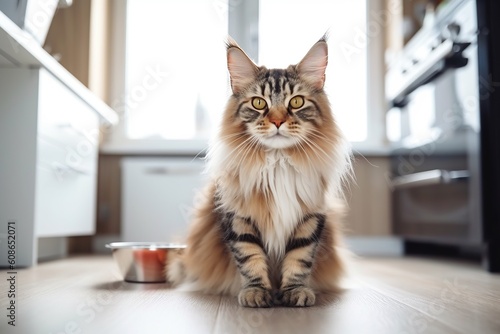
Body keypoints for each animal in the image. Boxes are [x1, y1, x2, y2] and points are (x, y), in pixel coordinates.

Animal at [167, 36, 352, 308]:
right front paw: (256, 293)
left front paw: (295, 291)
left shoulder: (310, 217)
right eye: (258, 103)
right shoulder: (238, 217)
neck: (278, 163)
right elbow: (250, 258)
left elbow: (299, 258)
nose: (277, 122)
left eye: (296, 102)